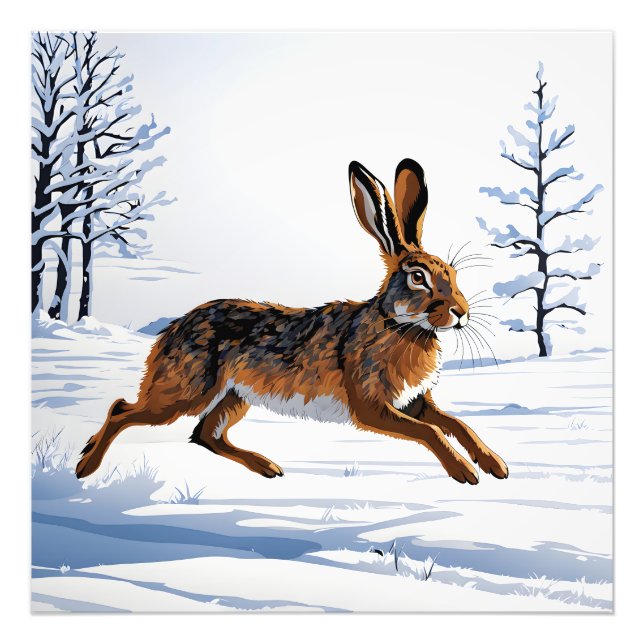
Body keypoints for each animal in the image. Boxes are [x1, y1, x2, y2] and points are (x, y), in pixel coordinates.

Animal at [75, 159, 508, 484]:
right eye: (417, 277)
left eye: (453, 273)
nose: (460, 312)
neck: (398, 323)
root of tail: (170, 332)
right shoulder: (371, 406)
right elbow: (430, 431)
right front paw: (465, 473)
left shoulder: (416, 402)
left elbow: (456, 423)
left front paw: (495, 465)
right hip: (184, 391)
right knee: (122, 409)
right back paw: (85, 466)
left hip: (234, 396)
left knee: (204, 434)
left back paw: (268, 467)